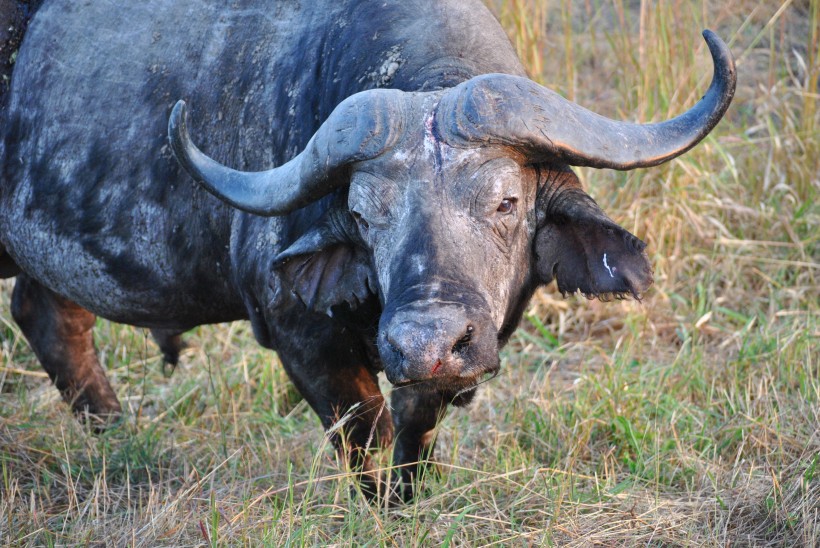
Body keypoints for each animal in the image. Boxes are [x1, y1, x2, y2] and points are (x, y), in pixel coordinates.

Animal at [0, 0, 736, 498]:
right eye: (362, 213)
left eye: (506, 202)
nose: (426, 340)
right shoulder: (301, 338)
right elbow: (366, 431)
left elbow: (416, 425)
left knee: (48, 315)